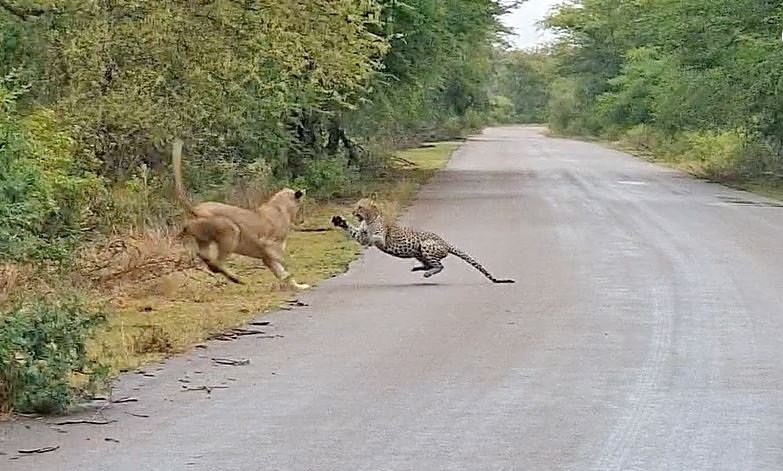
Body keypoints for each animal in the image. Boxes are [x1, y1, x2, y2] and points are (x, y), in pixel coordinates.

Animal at [172, 139, 309, 289]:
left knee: (206, 258)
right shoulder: (269, 246)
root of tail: (197, 209)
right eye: (302, 206)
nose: (303, 220)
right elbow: (284, 263)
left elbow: (281, 272)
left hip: (205, 240)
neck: (280, 207)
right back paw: (237, 279)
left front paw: (298, 286)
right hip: (232, 231)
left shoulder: (266, 257)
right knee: (217, 262)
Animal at [331, 197, 515, 284]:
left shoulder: (381, 238)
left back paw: (426, 273)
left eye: (360, 206)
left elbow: (375, 237)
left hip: (426, 246)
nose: (353, 211)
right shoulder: (360, 236)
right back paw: (418, 269)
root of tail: (446, 243)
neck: (369, 219)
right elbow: (355, 232)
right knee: (430, 264)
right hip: (419, 252)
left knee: (440, 265)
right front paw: (339, 221)